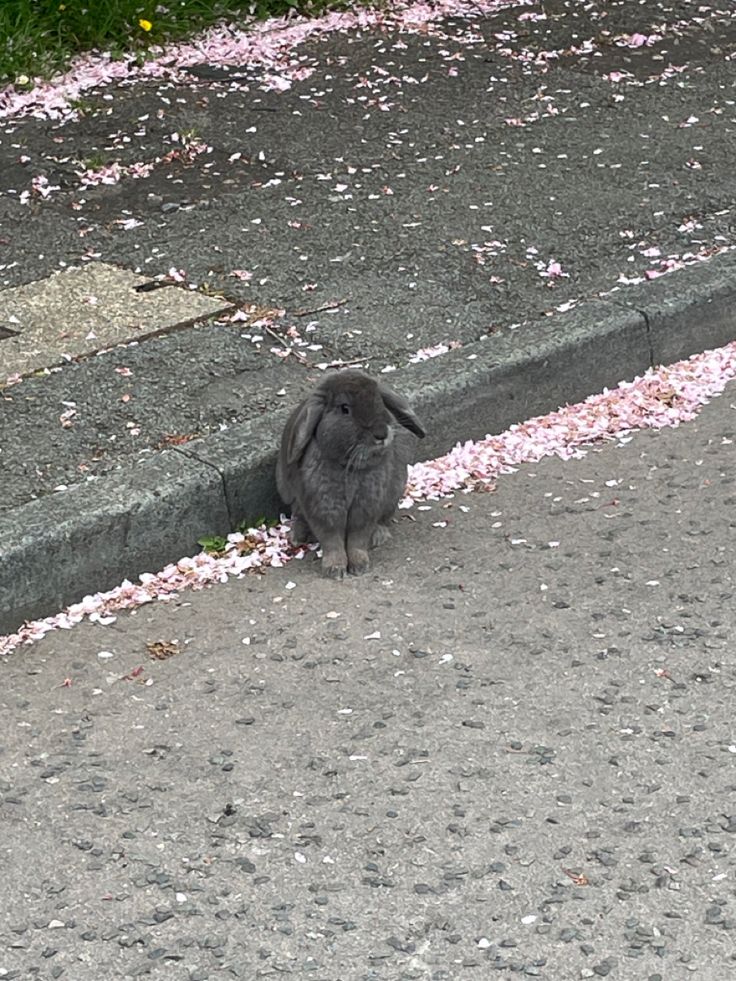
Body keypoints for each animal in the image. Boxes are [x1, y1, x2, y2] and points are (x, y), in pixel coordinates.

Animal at [276, 372, 426, 580]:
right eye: (344, 409)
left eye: (380, 401)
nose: (381, 434)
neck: (349, 466)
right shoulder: (325, 510)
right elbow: (332, 541)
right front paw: (335, 570)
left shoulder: (365, 509)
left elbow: (357, 540)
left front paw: (359, 566)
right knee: (298, 514)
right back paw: (298, 537)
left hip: (394, 492)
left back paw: (378, 536)